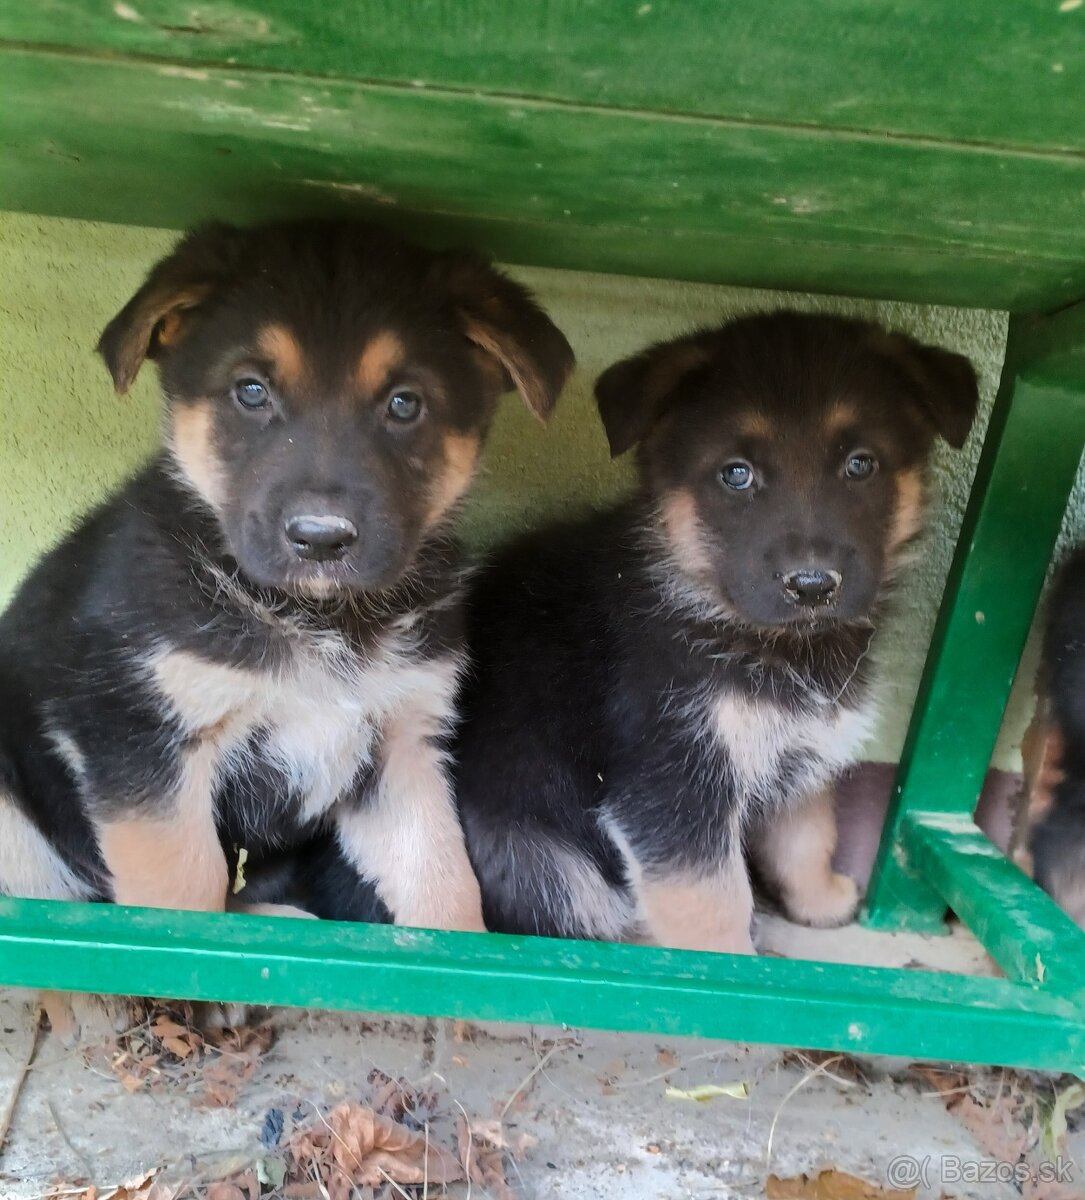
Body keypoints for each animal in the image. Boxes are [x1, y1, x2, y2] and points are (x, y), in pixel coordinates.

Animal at [0, 220, 576, 1027]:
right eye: (251, 391)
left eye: (405, 404)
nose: (321, 539)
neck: (319, 616)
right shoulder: (140, 738)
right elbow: (181, 894)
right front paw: (193, 992)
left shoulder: (400, 742)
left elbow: (441, 878)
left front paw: (462, 985)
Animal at [448, 314, 984, 950]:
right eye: (736, 474)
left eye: (861, 464)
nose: (811, 586)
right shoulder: (671, 783)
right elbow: (712, 901)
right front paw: (732, 962)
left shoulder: (798, 749)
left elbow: (808, 835)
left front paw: (820, 899)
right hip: (537, 856)